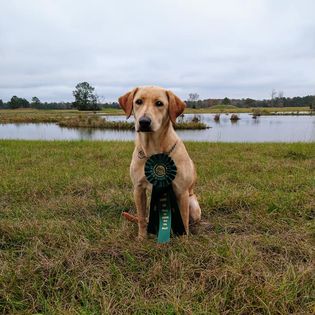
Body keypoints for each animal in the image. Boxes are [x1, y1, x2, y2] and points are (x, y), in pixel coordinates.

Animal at [118, 86, 202, 239]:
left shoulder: (181, 192)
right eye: (138, 101)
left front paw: (183, 240)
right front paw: (142, 238)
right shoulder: (138, 189)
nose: (144, 122)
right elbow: (141, 218)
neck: (153, 150)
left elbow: (184, 218)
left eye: (159, 103)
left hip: (193, 204)